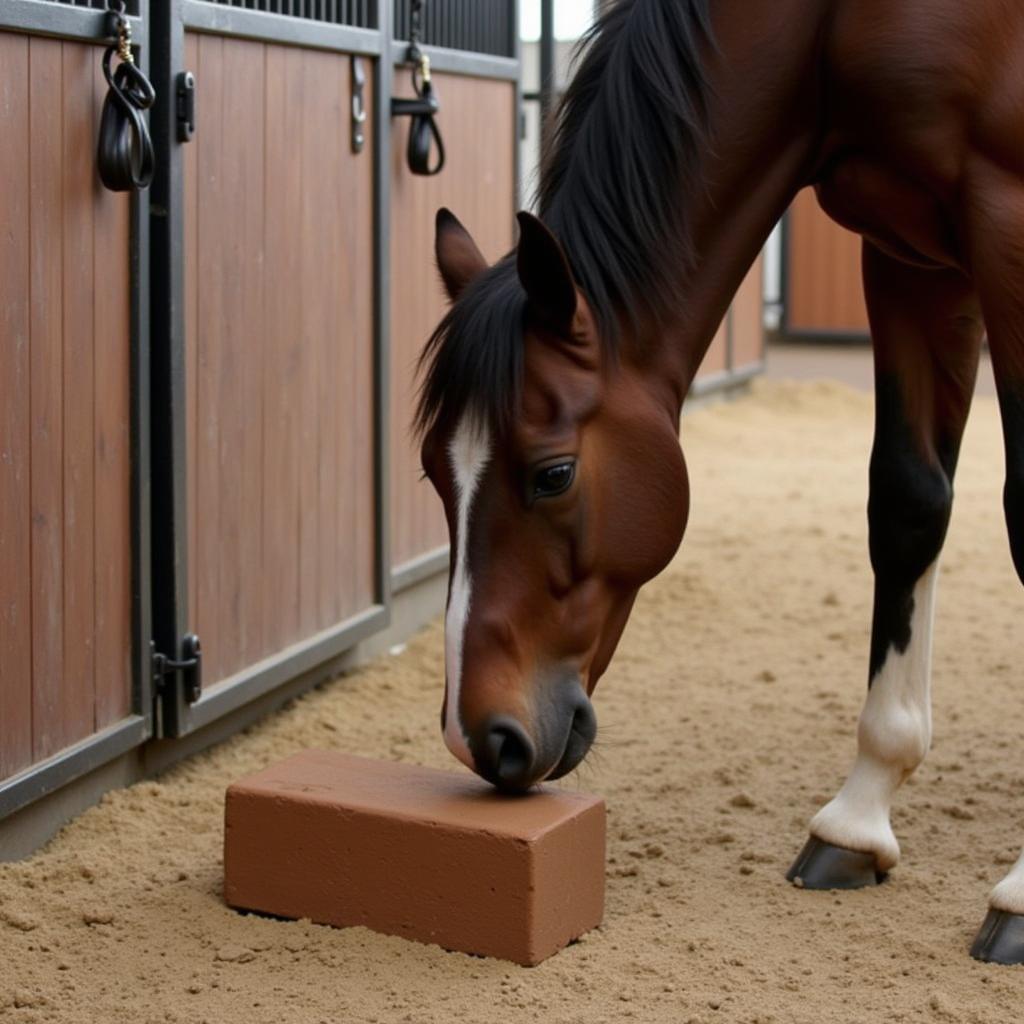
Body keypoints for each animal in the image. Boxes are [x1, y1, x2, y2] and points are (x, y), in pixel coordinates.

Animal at [411, 0, 1024, 962]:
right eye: (434, 473)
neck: (838, 25)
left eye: (552, 475)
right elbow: (908, 505)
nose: (482, 738)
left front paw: (1021, 892)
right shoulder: (910, 254)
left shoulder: (1009, 219)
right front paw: (858, 817)